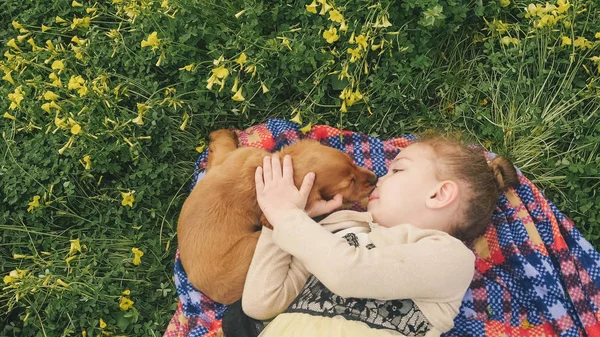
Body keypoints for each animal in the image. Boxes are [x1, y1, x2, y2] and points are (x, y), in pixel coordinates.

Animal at [176, 128, 378, 302]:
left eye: (353, 162)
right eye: (350, 182)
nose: (376, 179)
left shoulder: (233, 157)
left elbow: (221, 146)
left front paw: (222, 134)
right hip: (253, 243)